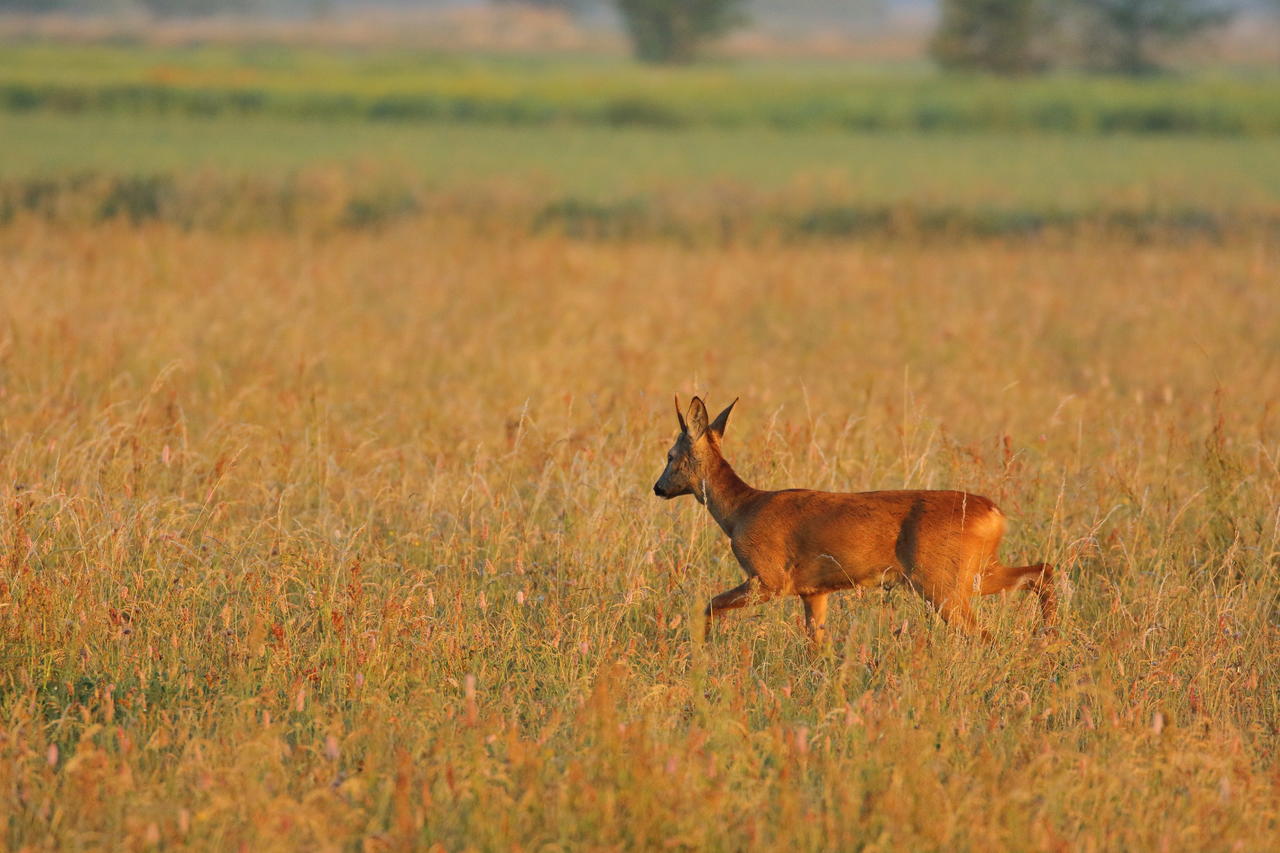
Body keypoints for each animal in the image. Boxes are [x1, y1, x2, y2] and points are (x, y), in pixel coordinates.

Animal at [655, 394, 1054, 640]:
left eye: (671, 455)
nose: (658, 488)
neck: (741, 511)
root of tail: (995, 515)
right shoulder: (813, 591)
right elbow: (817, 644)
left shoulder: (769, 578)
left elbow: (707, 605)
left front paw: (701, 646)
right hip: (975, 570)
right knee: (1042, 570)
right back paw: (1048, 636)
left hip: (941, 579)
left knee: (983, 634)